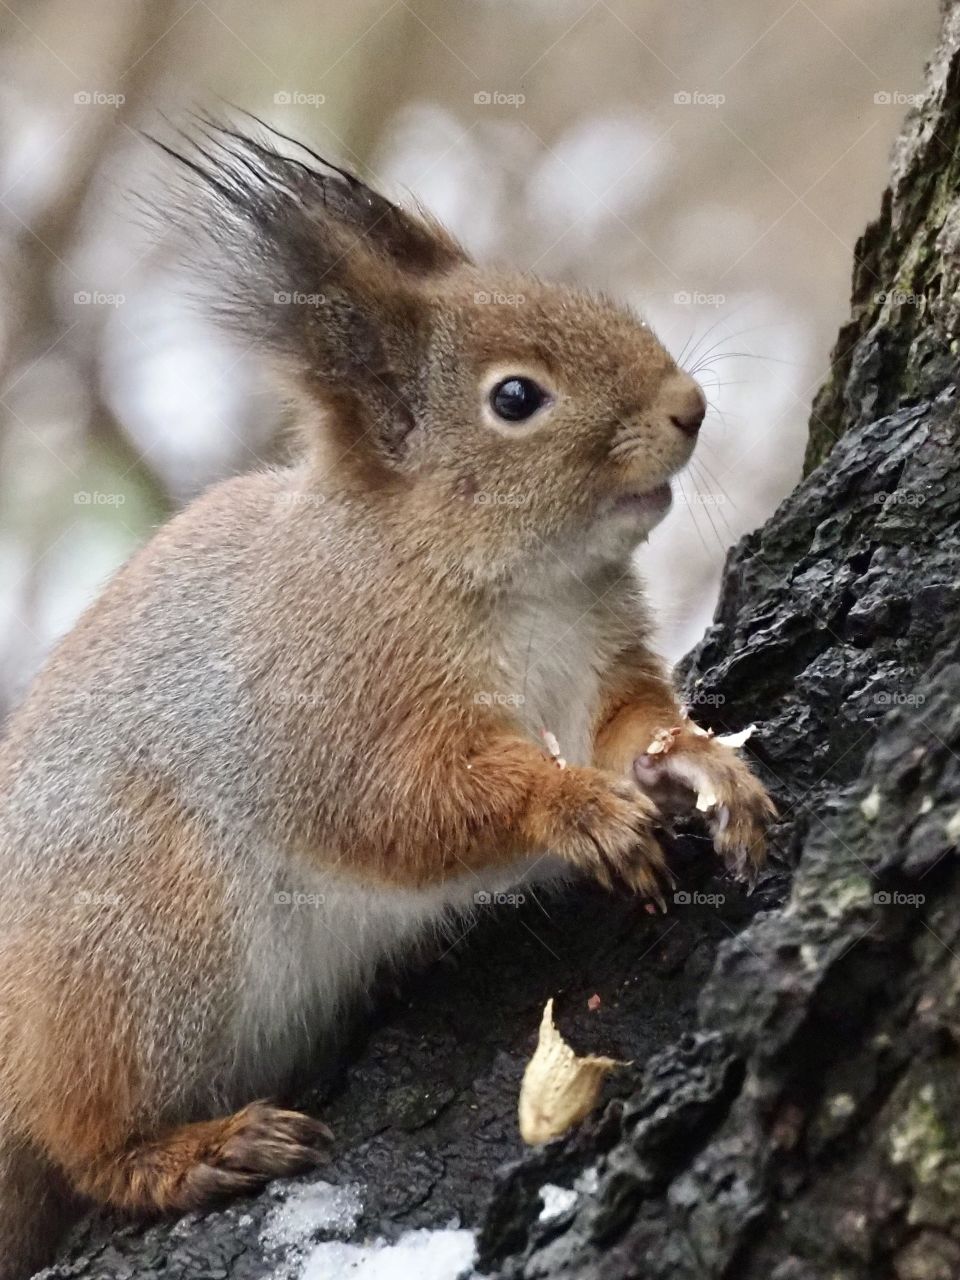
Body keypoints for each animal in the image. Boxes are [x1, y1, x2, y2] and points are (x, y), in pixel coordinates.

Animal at [0, 121, 774, 1278]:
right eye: (515, 398)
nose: (690, 406)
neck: (513, 586)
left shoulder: (597, 661)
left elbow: (628, 728)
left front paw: (701, 763)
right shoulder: (330, 703)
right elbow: (401, 808)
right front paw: (572, 808)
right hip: (135, 943)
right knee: (84, 1139)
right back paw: (193, 1151)